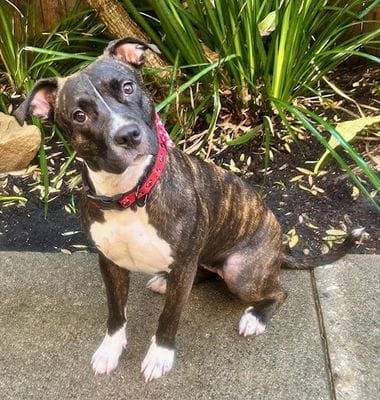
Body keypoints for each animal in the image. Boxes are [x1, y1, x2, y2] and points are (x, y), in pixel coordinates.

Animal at [12, 36, 362, 382]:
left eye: (127, 87)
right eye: (79, 115)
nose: (128, 135)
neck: (130, 195)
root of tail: (279, 248)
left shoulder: (182, 265)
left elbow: (169, 316)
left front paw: (160, 356)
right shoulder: (111, 264)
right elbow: (115, 312)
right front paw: (110, 349)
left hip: (240, 271)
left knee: (277, 292)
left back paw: (256, 318)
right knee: (204, 273)